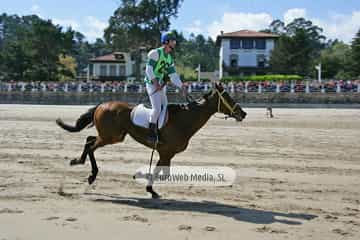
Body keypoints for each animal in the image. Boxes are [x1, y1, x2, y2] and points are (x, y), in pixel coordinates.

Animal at [56, 83, 246, 198]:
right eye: (227, 97)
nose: (243, 113)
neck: (185, 120)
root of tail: (102, 105)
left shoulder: (166, 154)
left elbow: (161, 172)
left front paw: (149, 187)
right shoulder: (166, 152)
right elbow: (160, 173)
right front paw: (142, 179)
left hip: (113, 136)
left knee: (89, 140)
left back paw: (81, 163)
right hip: (111, 136)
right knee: (91, 145)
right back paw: (88, 171)